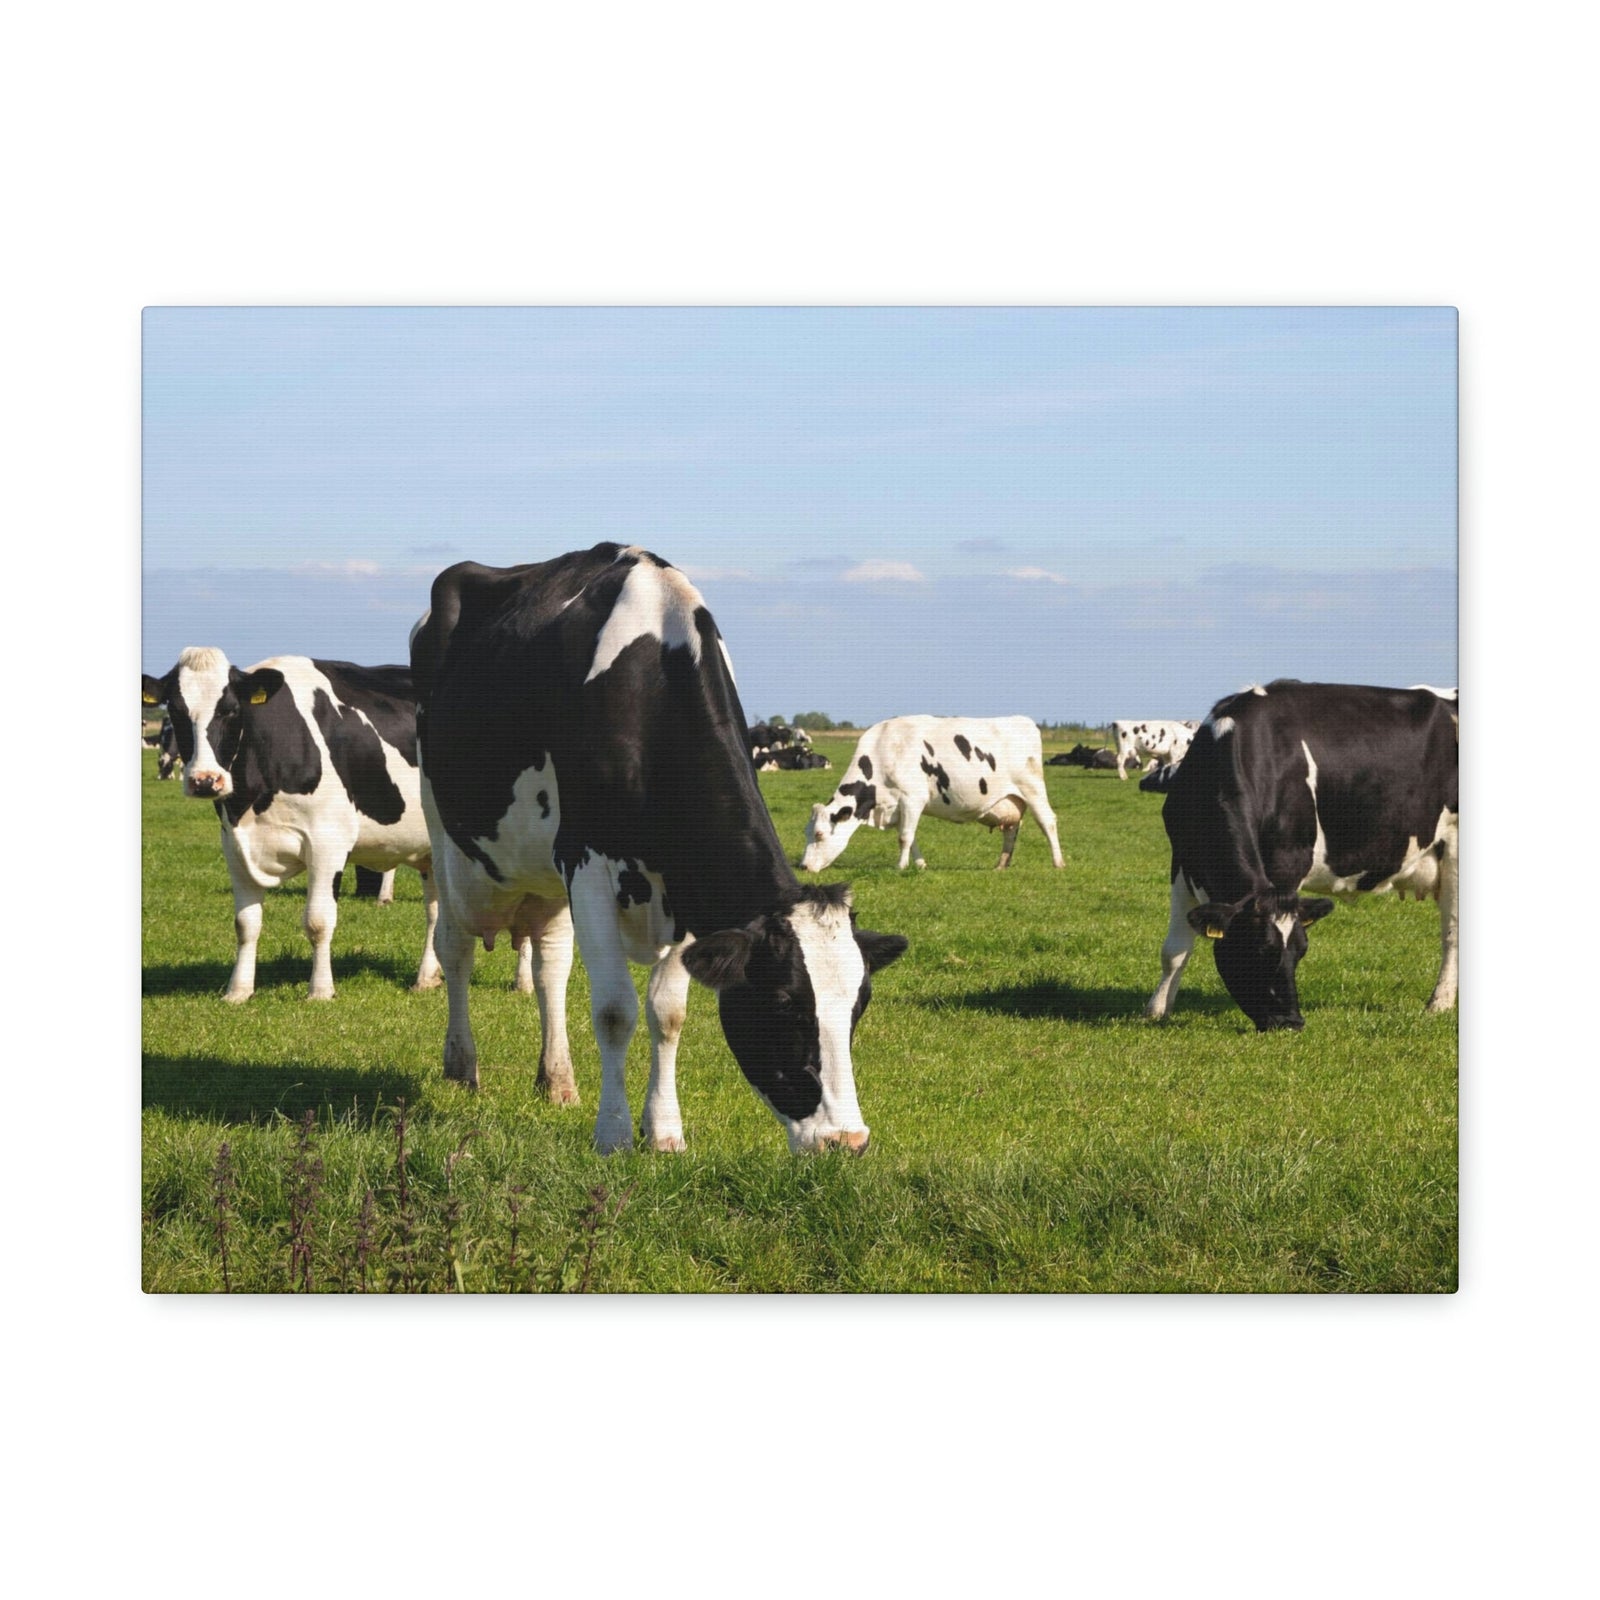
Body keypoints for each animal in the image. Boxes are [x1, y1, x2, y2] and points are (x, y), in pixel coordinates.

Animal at [140, 647, 445, 1002]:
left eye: (231, 710)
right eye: (175, 710)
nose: (204, 780)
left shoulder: (328, 842)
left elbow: (318, 920)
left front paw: (321, 991)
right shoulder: (235, 845)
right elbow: (246, 923)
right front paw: (238, 992)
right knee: (436, 910)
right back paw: (426, 978)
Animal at [410, 543, 908, 1154]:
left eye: (860, 1005)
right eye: (784, 1005)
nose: (848, 1140)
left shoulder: (687, 884)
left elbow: (667, 1013)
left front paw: (665, 1131)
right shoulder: (586, 863)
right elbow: (614, 1010)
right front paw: (614, 1135)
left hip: (545, 876)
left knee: (550, 966)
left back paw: (557, 1080)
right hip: (447, 837)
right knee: (454, 945)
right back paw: (462, 1065)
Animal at [800, 716, 1064, 872]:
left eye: (820, 834)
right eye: (807, 833)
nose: (803, 866)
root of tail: (1023, 720)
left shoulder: (912, 798)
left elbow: (905, 837)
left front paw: (901, 866)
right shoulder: (899, 806)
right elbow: (911, 837)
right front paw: (919, 864)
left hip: (1032, 788)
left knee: (1048, 822)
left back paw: (1058, 862)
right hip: (1012, 800)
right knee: (1011, 829)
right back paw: (1001, 865)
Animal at [1145, 681, 1458, 1032]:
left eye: (1301, 951)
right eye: (1257, 950)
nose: (1291, 1021)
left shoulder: (1288, 863)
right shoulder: (1182, 861)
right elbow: (1175, 950)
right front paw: (1157, 1010)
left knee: (1451, 934)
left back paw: (1439, 1003)